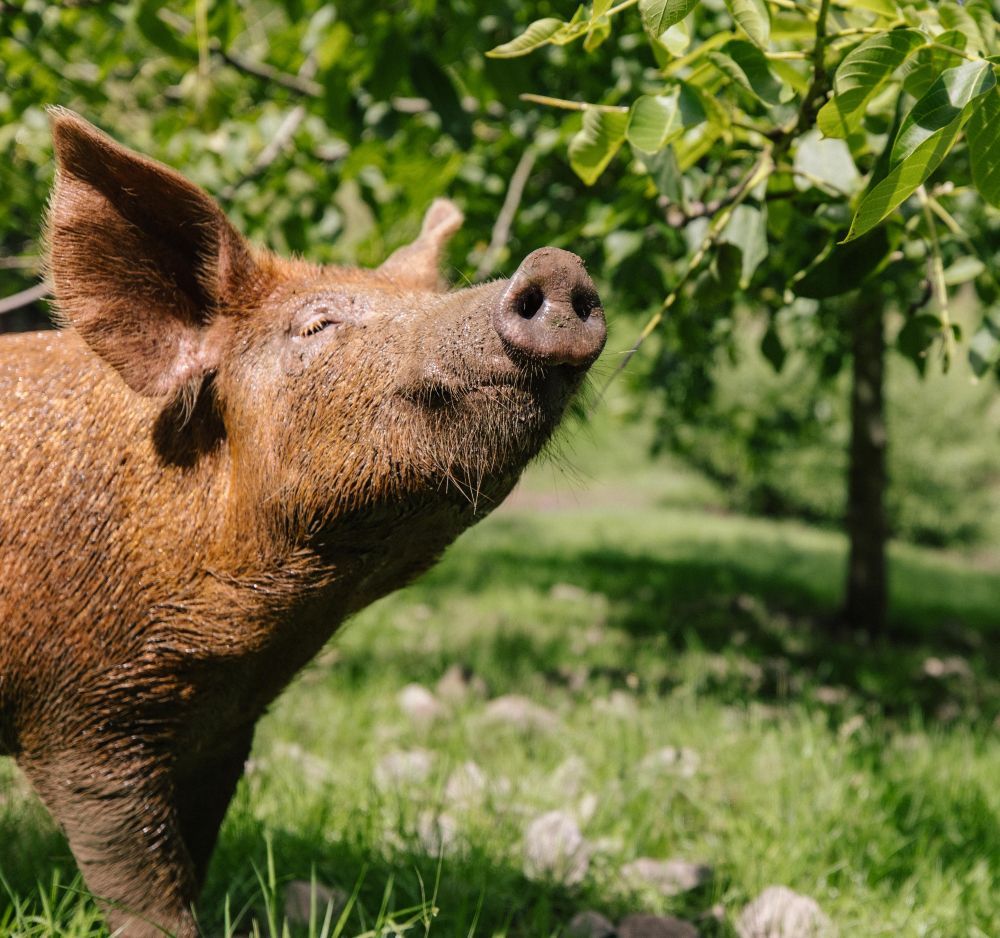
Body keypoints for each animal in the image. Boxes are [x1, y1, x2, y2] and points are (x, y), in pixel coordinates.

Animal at [0, 110, 605, 936]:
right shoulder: (78, 712)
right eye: (315, 326)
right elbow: (142, 880)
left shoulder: (227, 723)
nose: (555, 265)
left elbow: (195, 848)